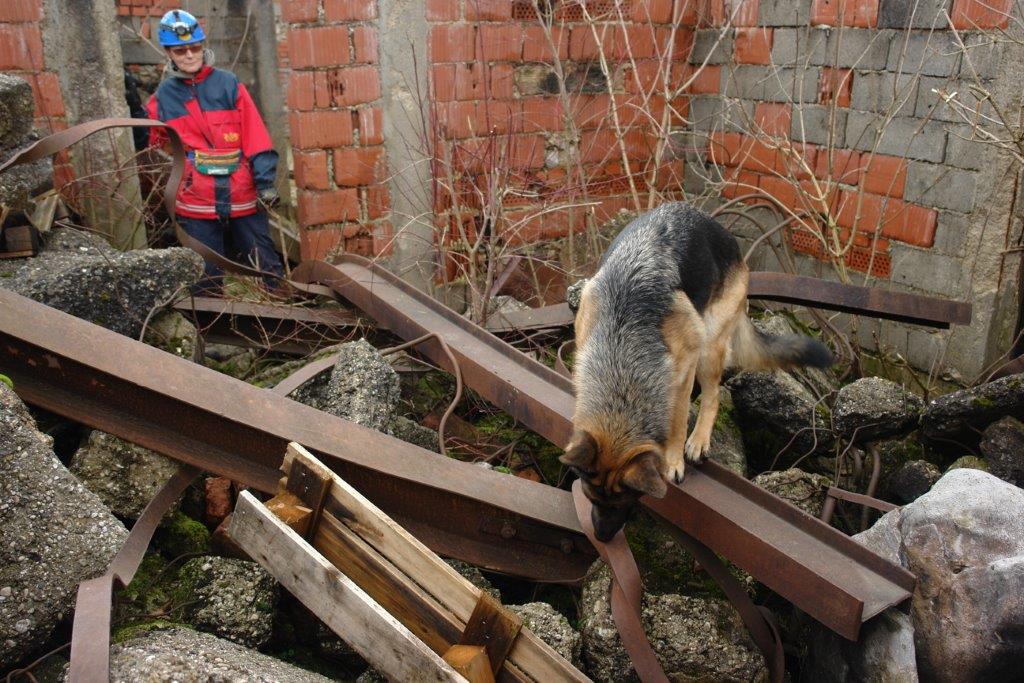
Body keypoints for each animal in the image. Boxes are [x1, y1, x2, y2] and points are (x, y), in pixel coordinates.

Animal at [561, 202, 832, 541]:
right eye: (591, 497)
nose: (601, 537)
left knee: (714, 395)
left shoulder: (683, 368)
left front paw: (673, 460)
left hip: (708, 344)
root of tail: (724, 234)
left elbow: (677, 421)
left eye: (627, 501)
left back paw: (699, 440)